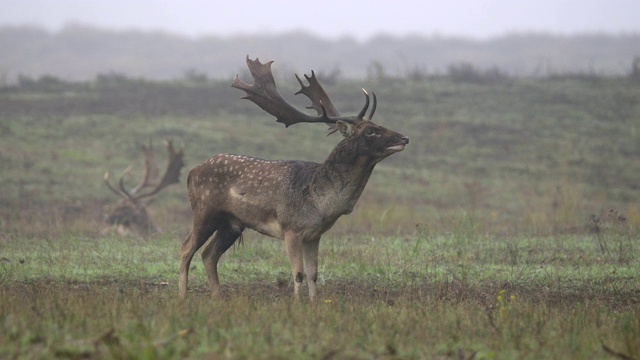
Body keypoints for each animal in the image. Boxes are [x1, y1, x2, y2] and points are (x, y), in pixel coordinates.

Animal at [179, 57, 410, 300]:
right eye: (370, 131)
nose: (405, 138)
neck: (321, 205)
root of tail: (191, 172)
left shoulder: (313, 235)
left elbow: (313, 274)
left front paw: (314, 303)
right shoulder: (291, 228)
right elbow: (298, 273)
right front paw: (297, 304)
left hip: (232, 223)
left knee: (208, 254)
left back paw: (218, 298)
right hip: (205, 211)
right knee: (186, 248)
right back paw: (183, 296)